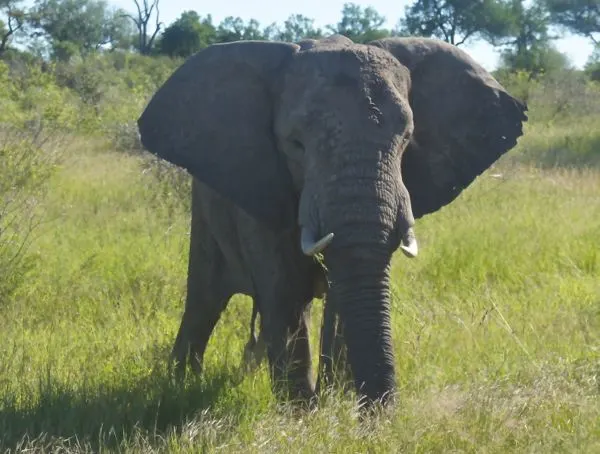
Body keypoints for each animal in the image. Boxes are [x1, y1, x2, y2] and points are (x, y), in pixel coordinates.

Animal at [138, 33, 528, 406]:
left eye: (406, 139)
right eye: (296, 144)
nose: (378, 416)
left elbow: (342, 296)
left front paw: (335, 400)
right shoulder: (263, 187)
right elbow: (282, 289)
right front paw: (300, 413)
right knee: (204, 299)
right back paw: (181, 385)